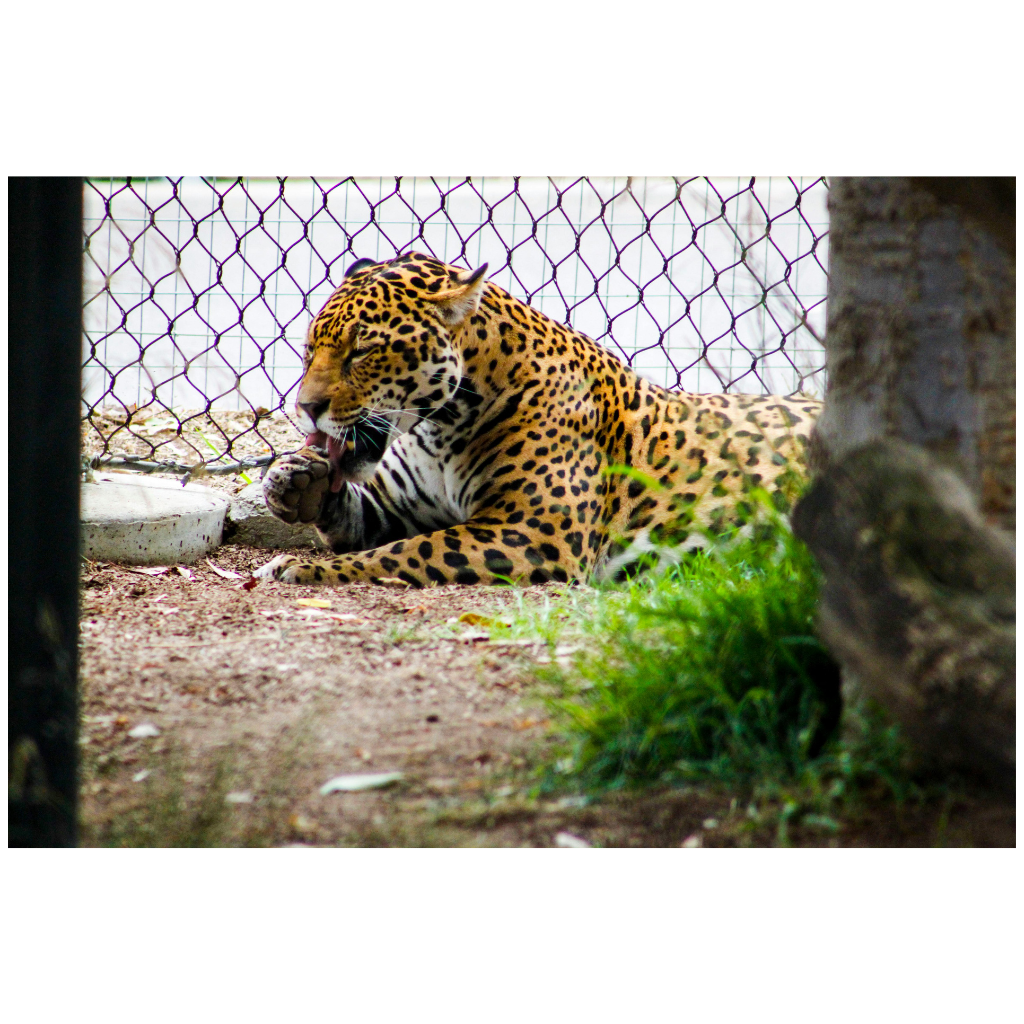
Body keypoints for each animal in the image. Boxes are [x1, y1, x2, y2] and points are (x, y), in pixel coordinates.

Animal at [255, 253, 821, 587]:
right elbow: (363, 516)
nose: (305, 408)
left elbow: (403, 553)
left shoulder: (530, 532)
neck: (440, 428)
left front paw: (302, 567)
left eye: (363, 351)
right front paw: (296, 480)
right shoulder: (400, 507)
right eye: (310, 350)